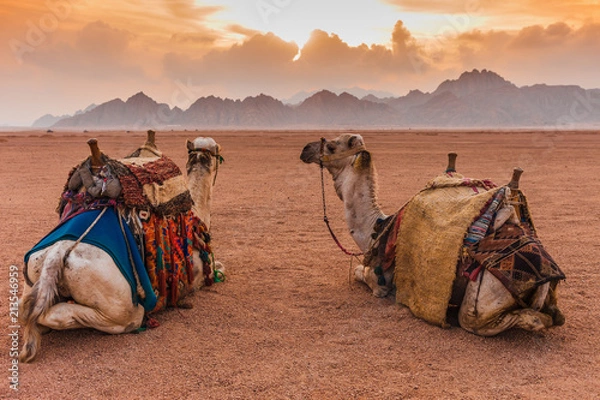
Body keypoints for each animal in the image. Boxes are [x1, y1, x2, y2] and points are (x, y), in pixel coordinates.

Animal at [20, 134, 225, 362]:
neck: (197, 214)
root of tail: (58, 253)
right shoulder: (198, 276)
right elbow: (218, 268)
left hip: (34, 273)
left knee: (26, 308)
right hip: (119, 305)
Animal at [302, 135, 564, 338]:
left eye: (332, 146)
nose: (306, 149)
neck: (377, 227)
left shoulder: (379, 282)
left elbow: (360, 273)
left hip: (481, 301)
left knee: (514, 320)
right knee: (552, 314)